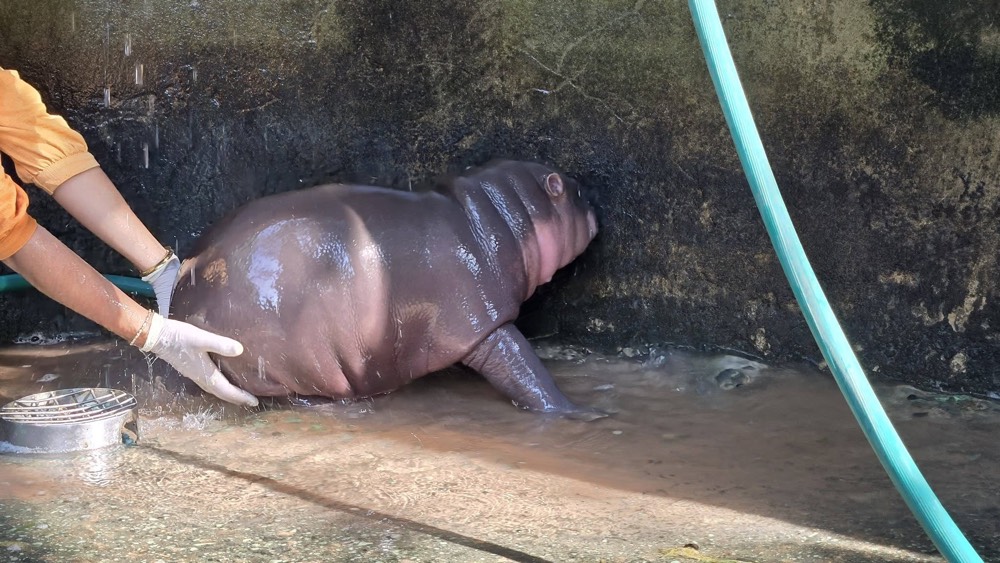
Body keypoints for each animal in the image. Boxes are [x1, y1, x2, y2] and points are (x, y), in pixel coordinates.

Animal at [171, 160, 602, 419]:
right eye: (579, 193)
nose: (596, 209)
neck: (503, 219)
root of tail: (184, 292)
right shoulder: (484, 321)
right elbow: (523, 369)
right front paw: (579, 412)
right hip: (288, 358)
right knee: (294, 394)